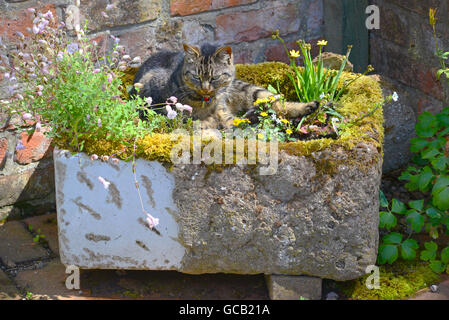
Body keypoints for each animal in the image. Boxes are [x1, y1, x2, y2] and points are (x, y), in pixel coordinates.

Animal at [130, 43, 318, 129]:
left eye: (215, 78)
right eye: (196, 76)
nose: (206, 88)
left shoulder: (221, 107)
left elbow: (226, 120)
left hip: (251, 91)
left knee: (278, 104)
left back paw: (310, 106)